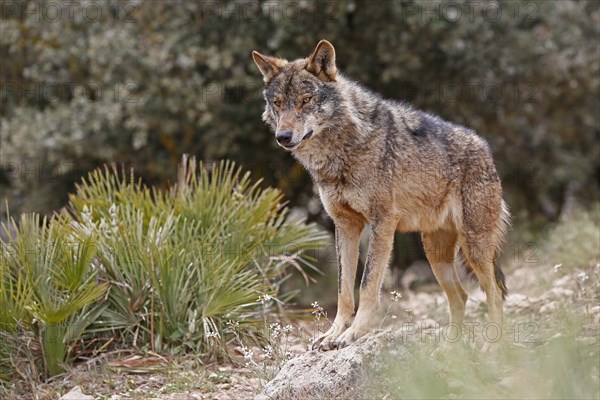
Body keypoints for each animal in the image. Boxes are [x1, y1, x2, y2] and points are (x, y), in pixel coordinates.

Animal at [251, 39, 508, 348]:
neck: (341, 152)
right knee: (462, 296)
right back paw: (450, 350)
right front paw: (333, 333)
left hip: (474, 247)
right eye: (277, 103)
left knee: (494, 293)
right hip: (435, 252)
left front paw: (353, 333)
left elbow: (367, 284)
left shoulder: (382, 222)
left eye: (306, 100)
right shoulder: (345, 226)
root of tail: (485, 149)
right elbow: (344, 289)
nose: (283, 137)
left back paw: (494, 346)